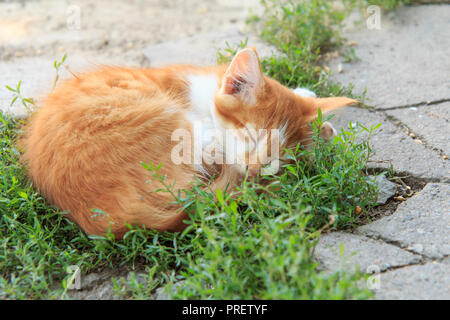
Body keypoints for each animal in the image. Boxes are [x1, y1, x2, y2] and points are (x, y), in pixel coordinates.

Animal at [18, 47, 358, 238]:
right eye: (249, 136)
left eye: (279, 159)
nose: (255, 169)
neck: (205, 95)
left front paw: (313, 108)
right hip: (165, 120)